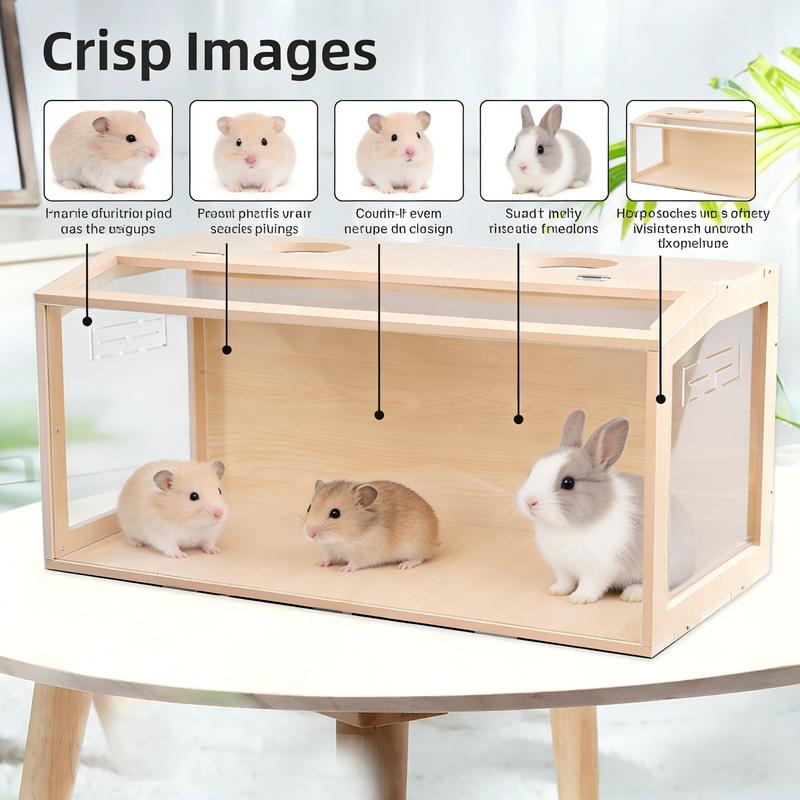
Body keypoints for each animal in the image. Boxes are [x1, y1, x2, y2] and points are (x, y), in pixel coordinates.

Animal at [304, 479, 440, 572]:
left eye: (335, 513)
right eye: (309, 507)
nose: (310, 533)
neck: (340, 540)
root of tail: (435, 543)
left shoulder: (366, 553)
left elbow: (355, 563)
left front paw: (343, 569)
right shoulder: (330, 550)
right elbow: (329, 558)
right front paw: (320, 563)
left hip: (415, 546)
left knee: (419, 558)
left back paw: (404, 565)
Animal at [517, 410, 695, 604]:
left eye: (568, 483)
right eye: (531, 471)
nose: (529, 501)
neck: (566, 526)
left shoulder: (599, 567)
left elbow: (591, 584)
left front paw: (579, 598)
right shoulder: (561, 566)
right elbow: (565, 580)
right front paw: (557, 590)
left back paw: (633, 594)